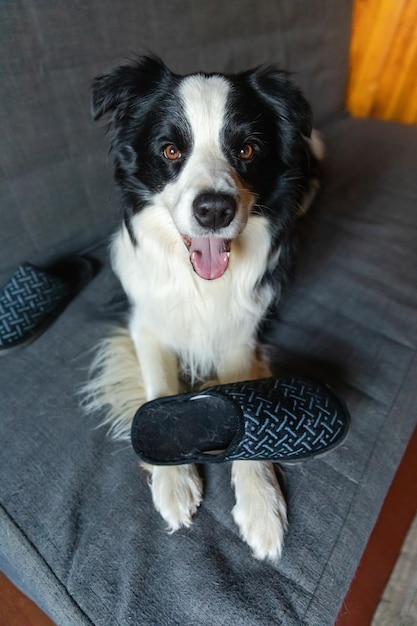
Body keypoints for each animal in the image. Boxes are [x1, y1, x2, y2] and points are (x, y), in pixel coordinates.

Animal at [87, 54, 322, 560]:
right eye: (171, 151)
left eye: (248, 150)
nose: (214, 210)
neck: (201, 283)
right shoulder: (146, 322)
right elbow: (159, 387)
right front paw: (174, 481)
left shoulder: (241, 332)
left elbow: (245, 404)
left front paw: (261, 505)